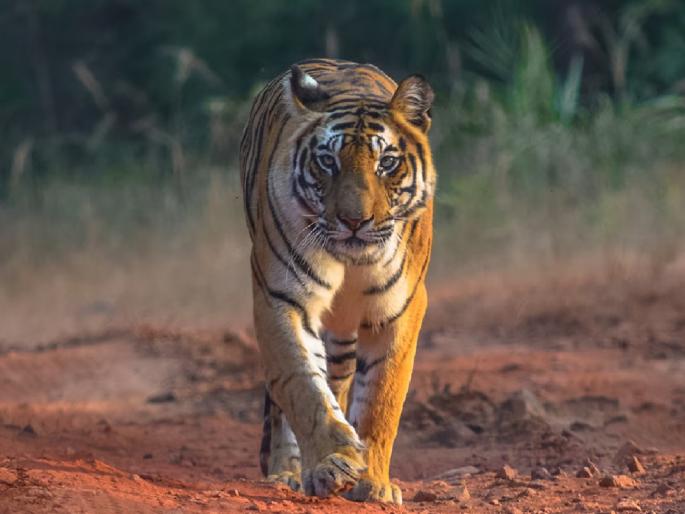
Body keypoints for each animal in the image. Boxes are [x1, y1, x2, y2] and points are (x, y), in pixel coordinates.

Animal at [239, 58, 435, 505]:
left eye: (386, 163)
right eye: (328, 162)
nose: (354, 221)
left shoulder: (401, 309)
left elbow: (382, 396)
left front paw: (374, 483)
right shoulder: (281, 297)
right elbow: (303, 385)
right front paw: (332, 463)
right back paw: (287, 473)